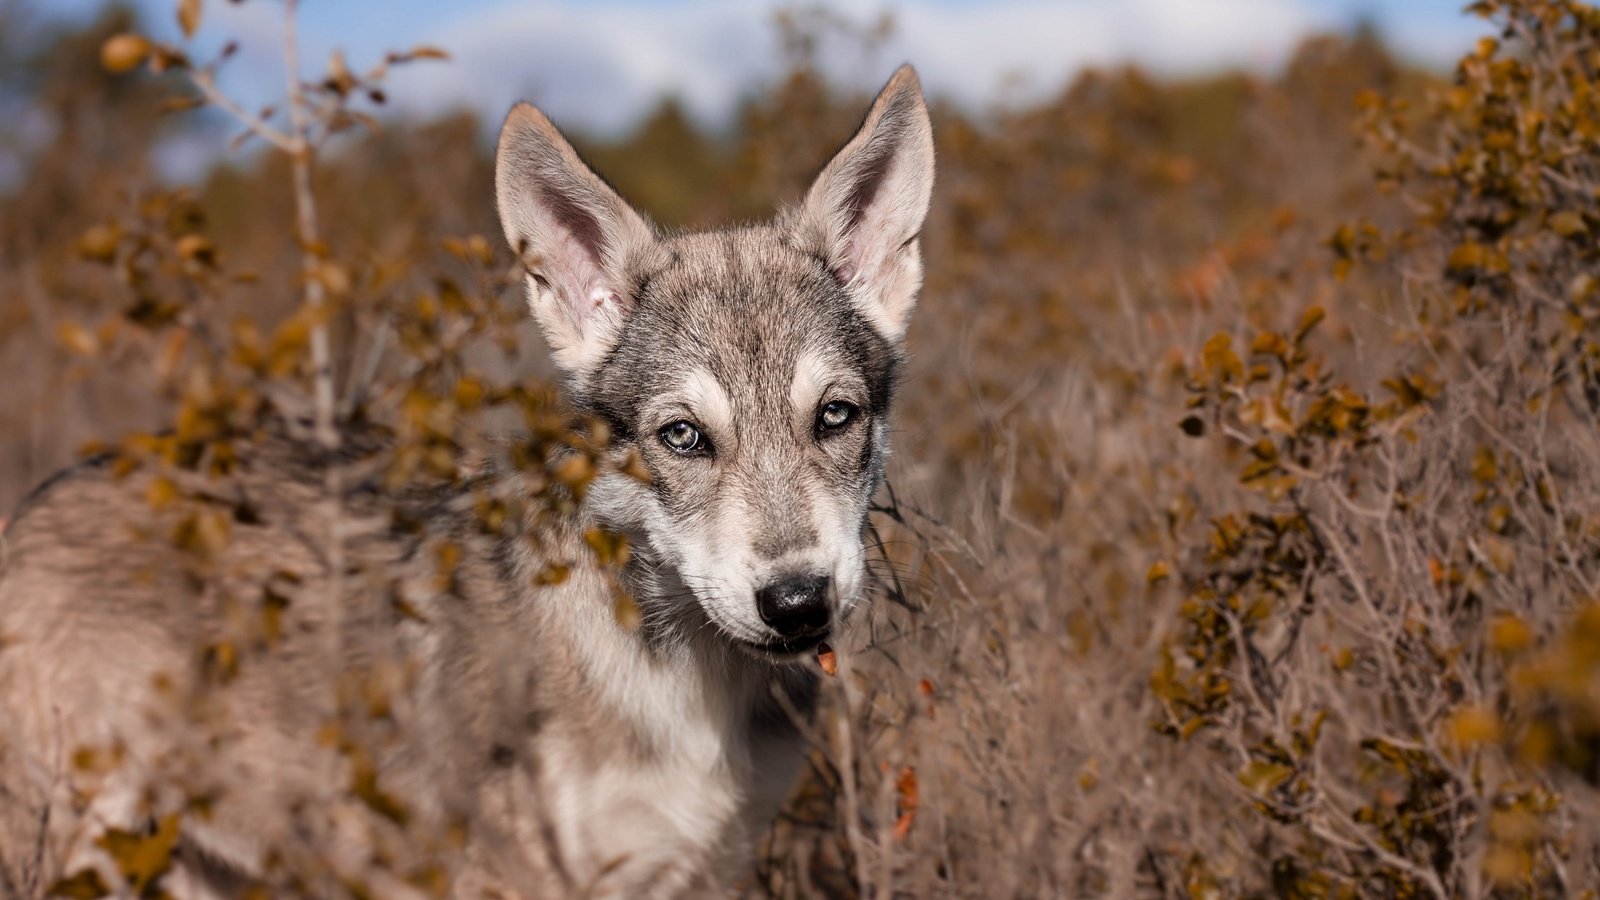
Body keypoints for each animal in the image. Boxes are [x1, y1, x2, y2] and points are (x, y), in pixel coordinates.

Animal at [0, 66, 934, 890]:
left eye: (835, 417)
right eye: (683, 437)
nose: (797, 602)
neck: (690, 689)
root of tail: (33, 506)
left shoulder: (714, 869)